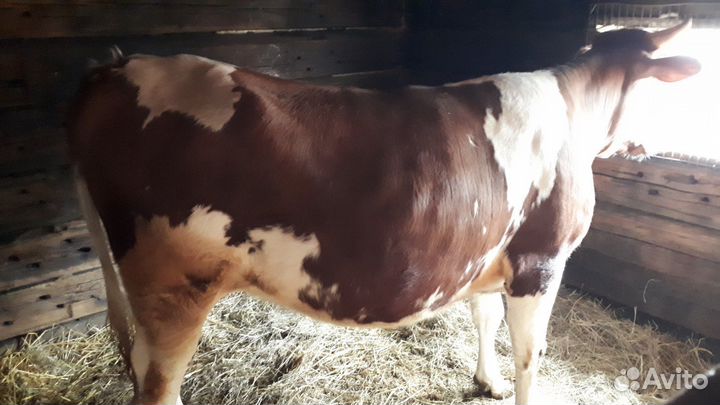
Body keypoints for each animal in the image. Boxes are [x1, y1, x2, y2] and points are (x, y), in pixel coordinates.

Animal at [66, 21, 699, 405]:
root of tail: (117, 67)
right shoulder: (541, 261)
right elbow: (530, 352)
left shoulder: (487, 252)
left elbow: (485, 319)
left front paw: (487, 380)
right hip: (174, 285)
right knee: (158, 383)